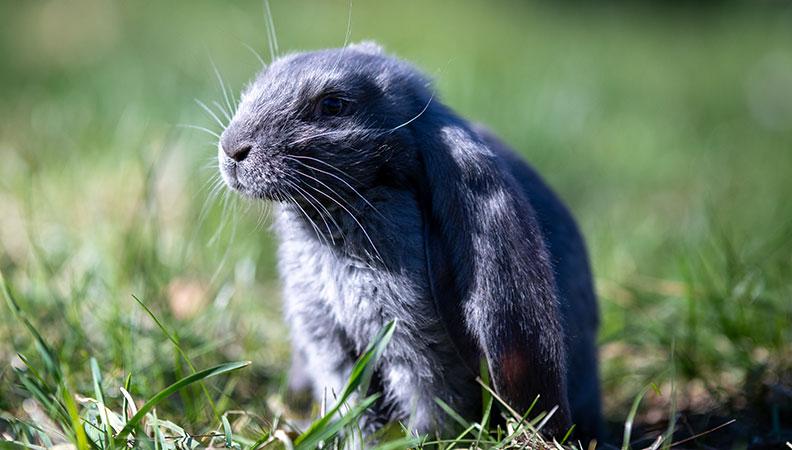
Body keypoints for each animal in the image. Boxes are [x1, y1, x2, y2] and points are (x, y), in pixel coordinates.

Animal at [217, 41, 602, 440]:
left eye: (334, 105)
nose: (232, 149)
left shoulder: (417, 347)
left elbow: (429, 404)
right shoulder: (328, 340)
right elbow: (349, 401)